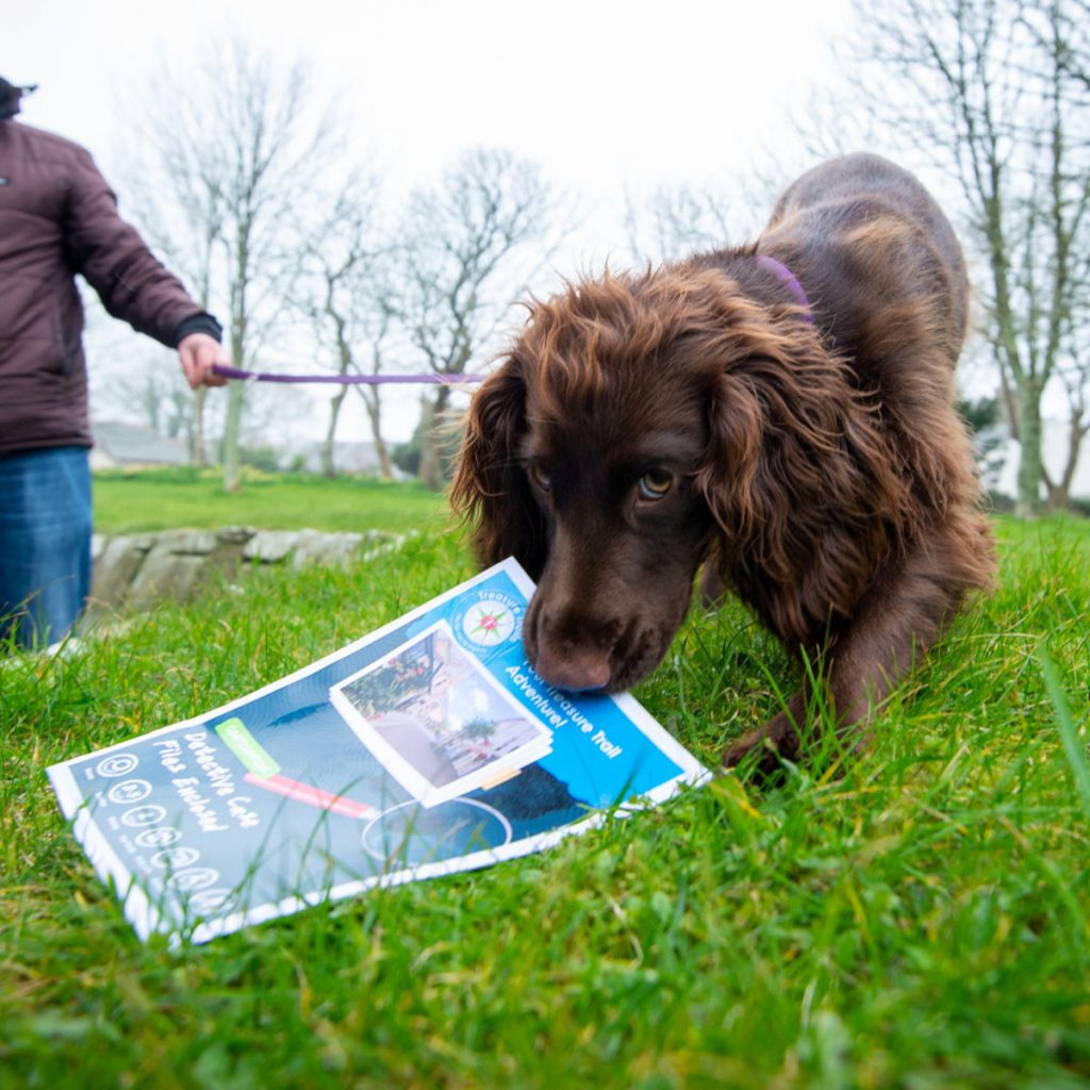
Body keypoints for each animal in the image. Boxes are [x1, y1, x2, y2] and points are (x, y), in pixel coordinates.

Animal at [451, 153, 998, 771]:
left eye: (657, 481)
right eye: (542, 476)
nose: (566, 674)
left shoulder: (929, 508)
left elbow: (862, 645)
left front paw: (808, 743)